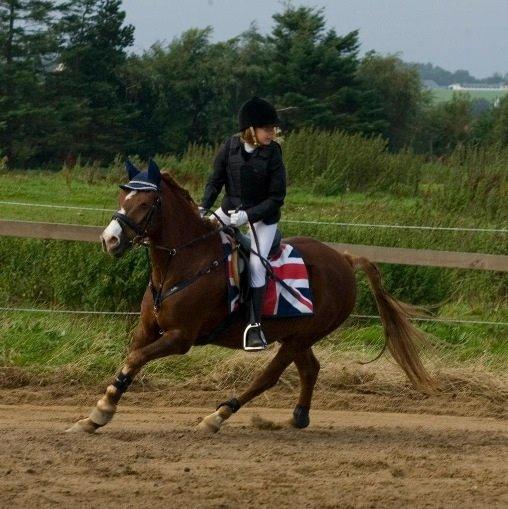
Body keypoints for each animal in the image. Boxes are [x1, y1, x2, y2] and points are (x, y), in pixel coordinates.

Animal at [66, 163, 432, 432]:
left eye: (144, 204)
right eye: (122, 198)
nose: (109, 240)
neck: (182, 264)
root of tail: (343, 259)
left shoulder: (180, 337)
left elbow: (135, 359)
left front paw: (100, 412)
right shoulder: (147, 329)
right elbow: (130, 360)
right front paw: (96, 414)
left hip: (301, 337)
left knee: (268, 377)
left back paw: (217, 417)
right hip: (295, 334)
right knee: (310, 369)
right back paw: (298, 416)